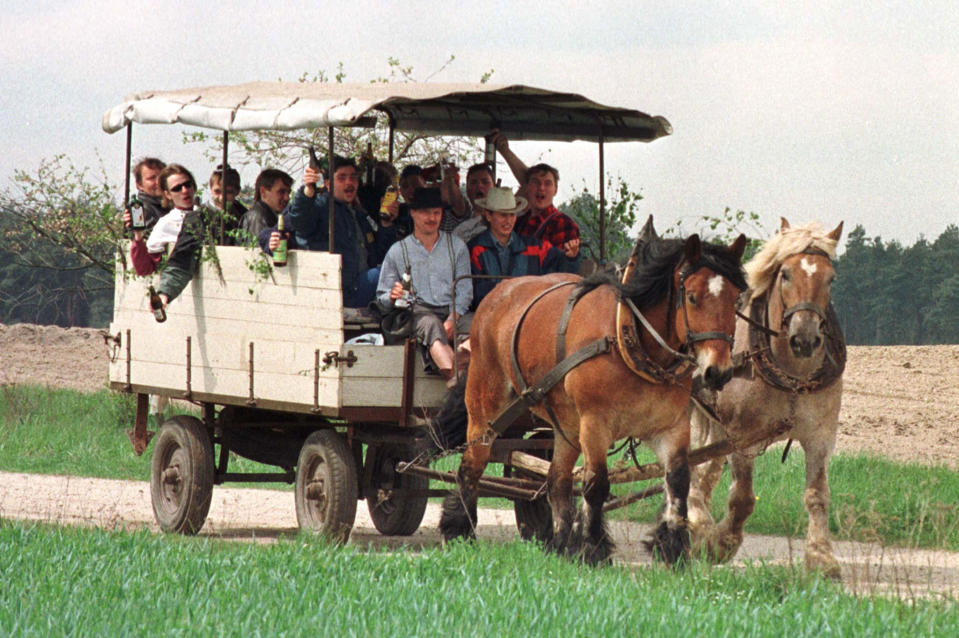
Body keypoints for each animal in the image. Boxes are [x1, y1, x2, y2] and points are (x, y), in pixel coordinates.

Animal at [442, 228, 752, 568]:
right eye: (693, 297)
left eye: (736, 298)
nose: (718, 371)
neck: (628, 338)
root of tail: (499, 291)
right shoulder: (595, 424)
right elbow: (596, 484)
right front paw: (593, 548)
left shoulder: (671, 427)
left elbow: (679, 480)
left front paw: (673, 547)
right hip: (485, 404)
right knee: (473, 464)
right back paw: (460, 531)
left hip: (565, 425)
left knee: (557, 481)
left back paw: (560, 543)